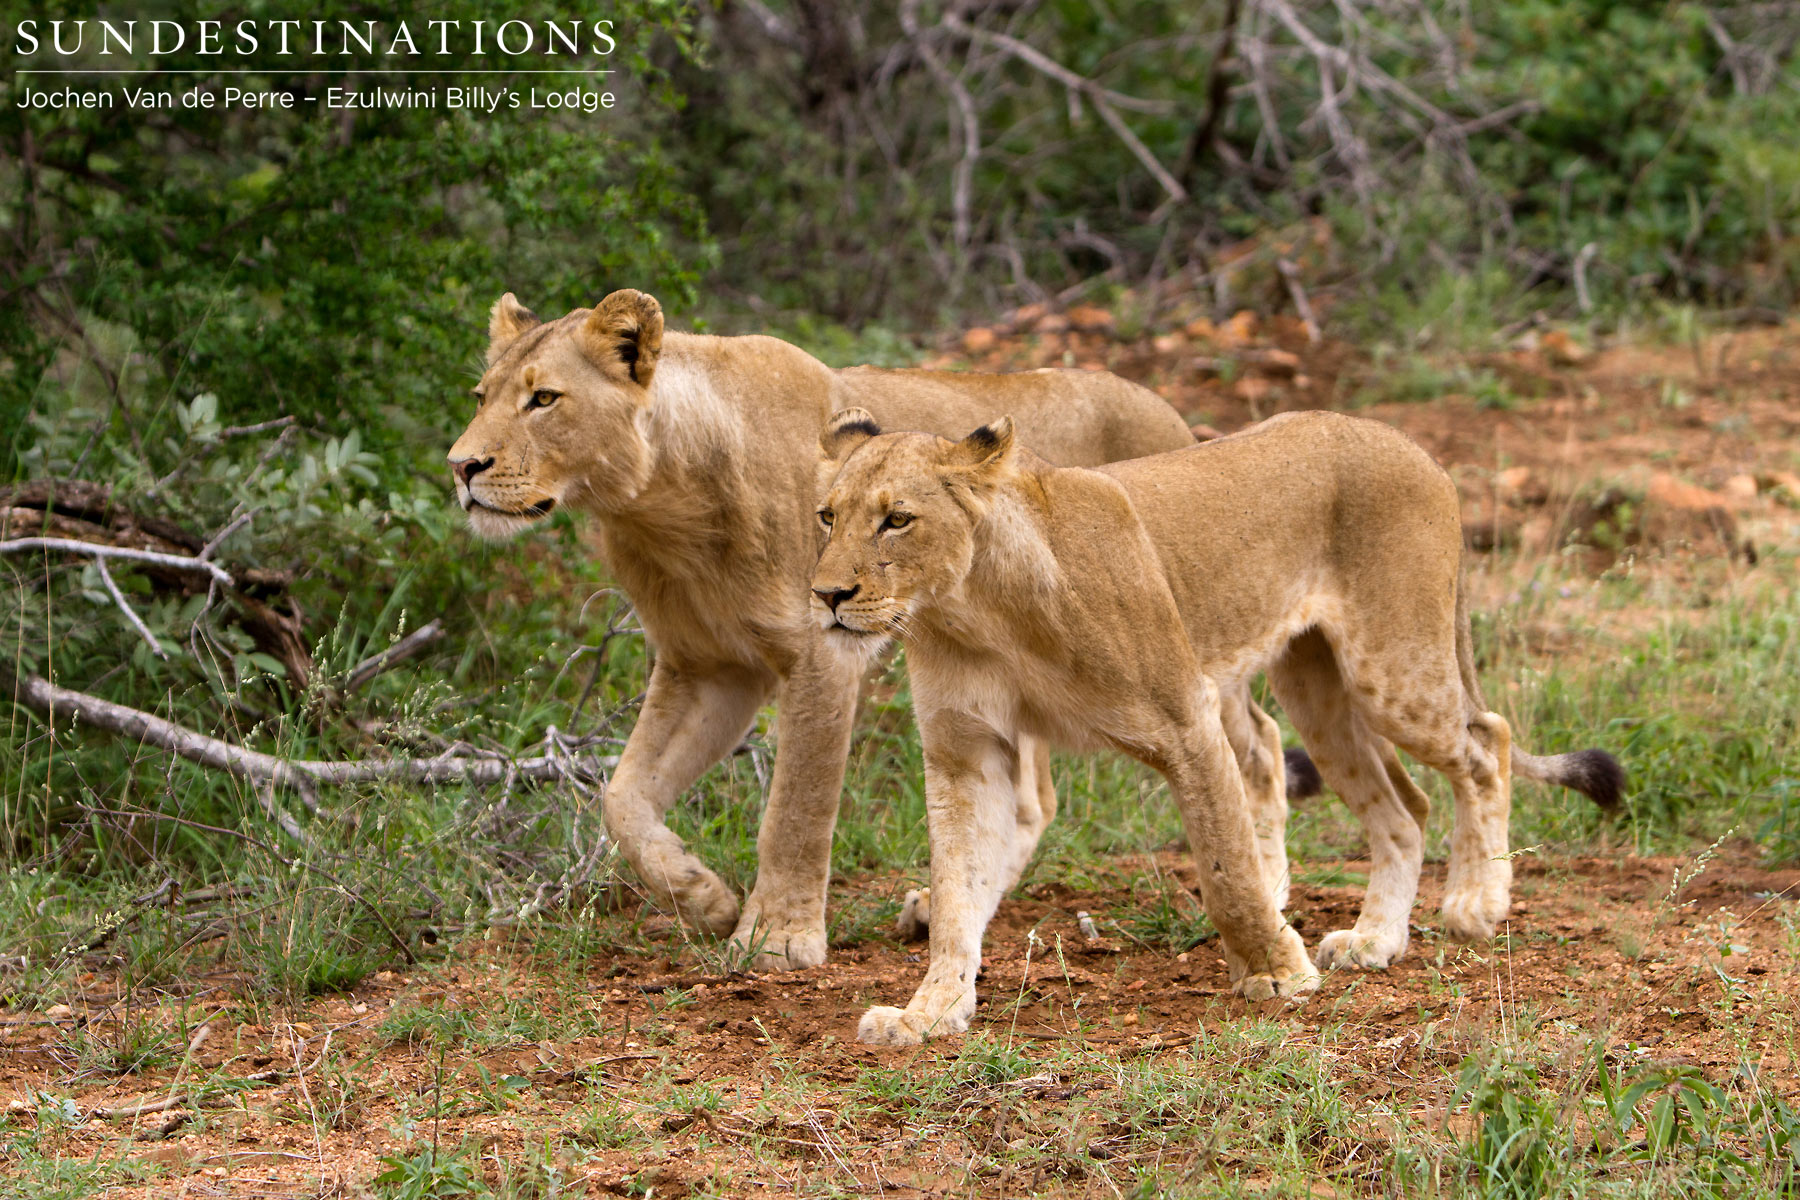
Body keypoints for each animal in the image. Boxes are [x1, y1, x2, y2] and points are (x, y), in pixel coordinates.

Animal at [446, 287, 1267, 970]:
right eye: (481, 396)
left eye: (544, 398)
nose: (461, 466)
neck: (665, 507)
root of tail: (1169, 409)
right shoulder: (707, 666)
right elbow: (622, 797)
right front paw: (701, 895)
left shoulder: (819, 653)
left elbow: (795, 806)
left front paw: (777, 938)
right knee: (1038, 798)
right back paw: (946, 908)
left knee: (1250, 740)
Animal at [811, 407, 1623, 1044]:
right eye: (828, 515)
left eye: (897, 519)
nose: (826, 595)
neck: (975, 608)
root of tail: (1409, 443)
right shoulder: (966, 751)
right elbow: (956, 890)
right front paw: (928, 1013)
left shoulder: (1186, 718)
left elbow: (1227, 866)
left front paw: (1276, 974)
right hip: (1316, 686)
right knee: (1403, 806)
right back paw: (1376, 939)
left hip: (1394, 669)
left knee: (1487, 743)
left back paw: (1476, 903)